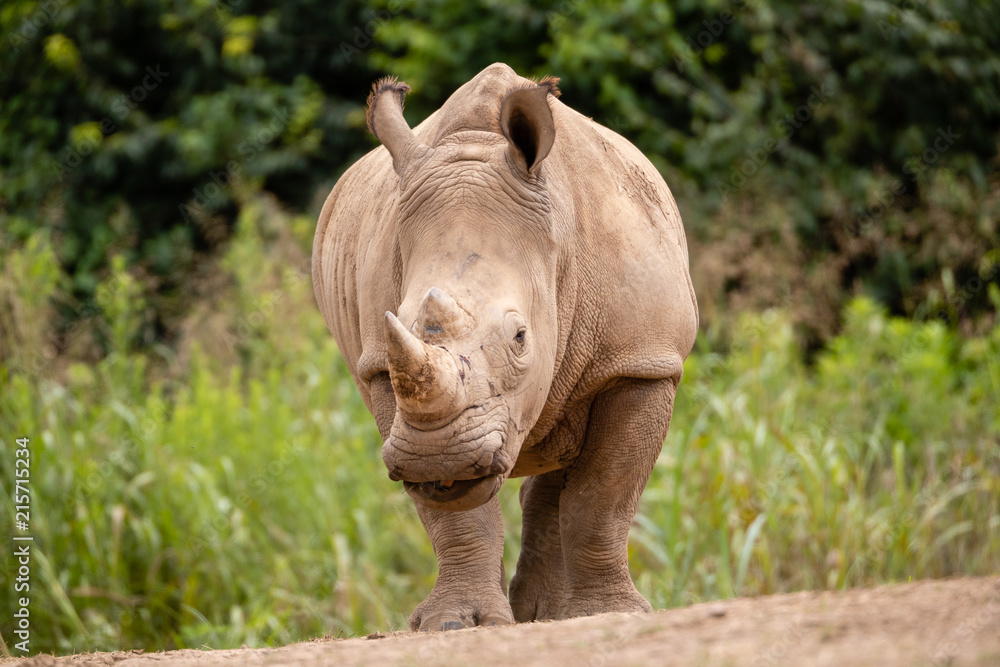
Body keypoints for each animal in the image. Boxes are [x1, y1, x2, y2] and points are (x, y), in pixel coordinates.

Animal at [312, 63, 698, 631]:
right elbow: (457, 517)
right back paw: (537, 614)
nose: (437, 456)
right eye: (399, 321)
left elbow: (603, 495)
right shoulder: (381, 366)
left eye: (520, 338)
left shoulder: (641, 361)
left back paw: (549, 615)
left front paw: (608, 613)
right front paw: (457, 624)